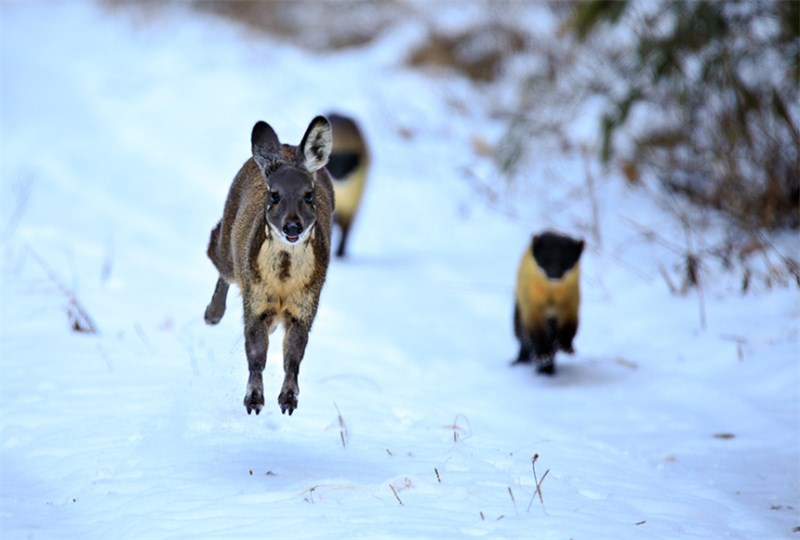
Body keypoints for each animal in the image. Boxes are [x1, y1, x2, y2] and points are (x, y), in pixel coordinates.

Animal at [206, 116, 334, 416]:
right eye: (274, 195)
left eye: (308, 195)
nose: (292, 227)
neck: (283, 285)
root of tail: (286, 146)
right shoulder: (255, 299)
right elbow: (255, 354)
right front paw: (254, 400)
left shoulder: (306, 304)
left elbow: (293, 357)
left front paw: (288, 399)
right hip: (229, 244)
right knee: (215, 252)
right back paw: (212, 314)